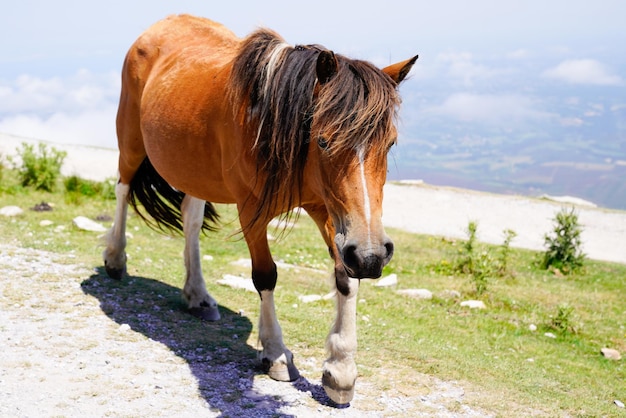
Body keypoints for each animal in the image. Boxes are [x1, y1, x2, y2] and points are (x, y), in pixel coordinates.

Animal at [101, 13, 414, 404]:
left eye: (391, 143)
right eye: (324, 141)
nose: (372, 256)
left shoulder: (328, 210)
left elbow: (345, 276)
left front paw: (340, 369)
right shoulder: (252, 210)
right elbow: (265, 276)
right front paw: (276, 353)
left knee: (190, 219)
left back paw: (198, 295)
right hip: (130, 140)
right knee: (123, 189)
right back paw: (115, 258)